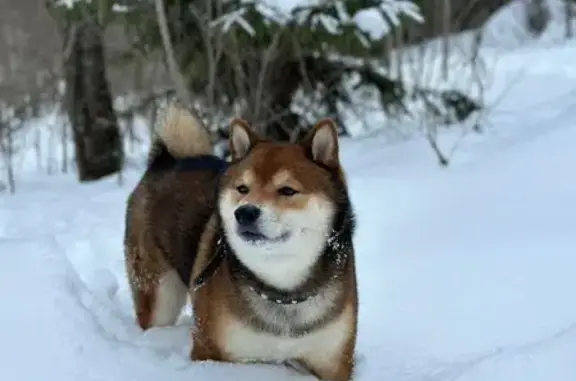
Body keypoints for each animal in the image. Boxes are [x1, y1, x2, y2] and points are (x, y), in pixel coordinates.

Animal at [124, 102, 358, 378]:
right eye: (243, 189)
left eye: (287, 190)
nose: (245, 212)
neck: (283, 291)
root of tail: (165, 161)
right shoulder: (210, 351)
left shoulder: (333, 361)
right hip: (158, 294)